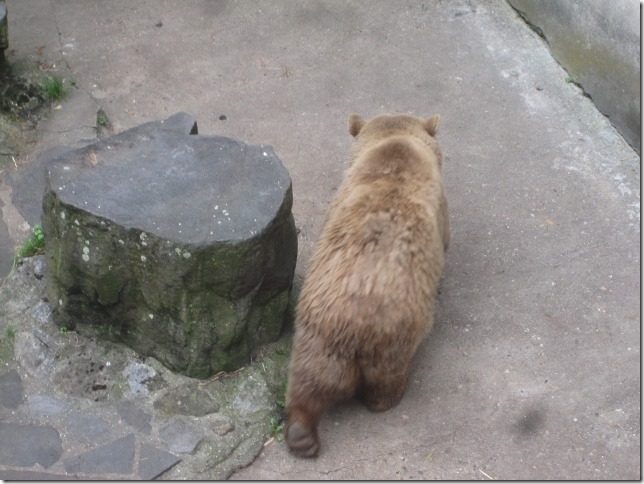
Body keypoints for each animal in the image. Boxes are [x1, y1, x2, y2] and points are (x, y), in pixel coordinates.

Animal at [284, 112, 450, 458]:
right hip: (395, 335)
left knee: (308, 381)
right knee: (386, 377)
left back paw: (301, 433)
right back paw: (386, 399)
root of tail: (353, 327)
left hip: (317, 332)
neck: (394, 146)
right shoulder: (439, 203)